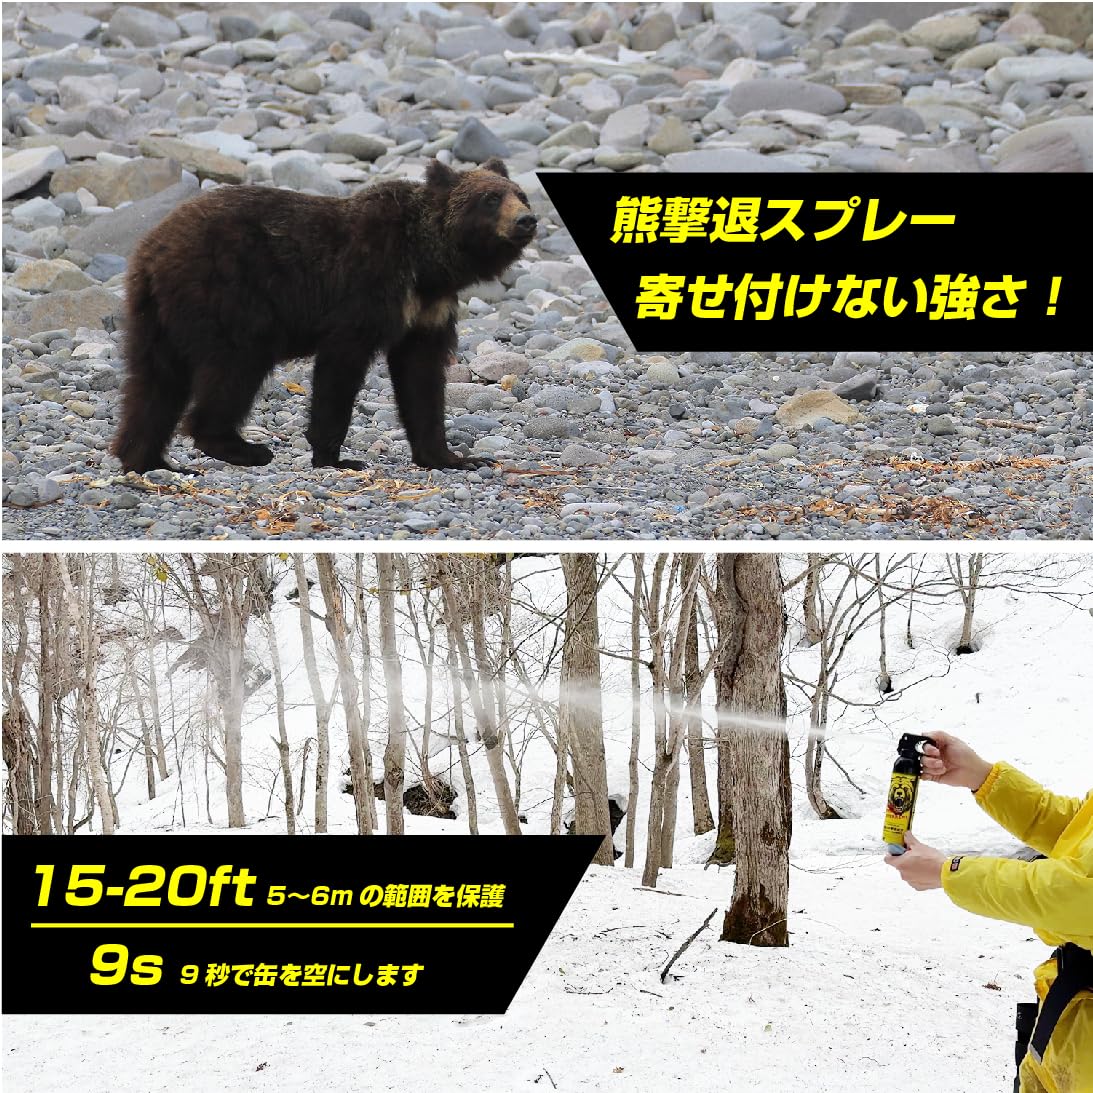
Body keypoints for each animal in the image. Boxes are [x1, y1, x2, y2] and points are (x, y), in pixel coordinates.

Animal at [110, 158, 537, 473]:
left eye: (521, 194)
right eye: (490, 198)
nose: (526, 220)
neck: (427, 265)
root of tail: (151, 250)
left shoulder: (428, 311)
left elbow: (422, 377)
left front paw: (455, 457)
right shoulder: (366, 287)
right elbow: (340, 369)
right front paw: (336, 457)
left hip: (155, 315)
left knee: (153, 381)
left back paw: (148, 460)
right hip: (228, 294)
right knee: (236, 365)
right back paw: (242, 447)